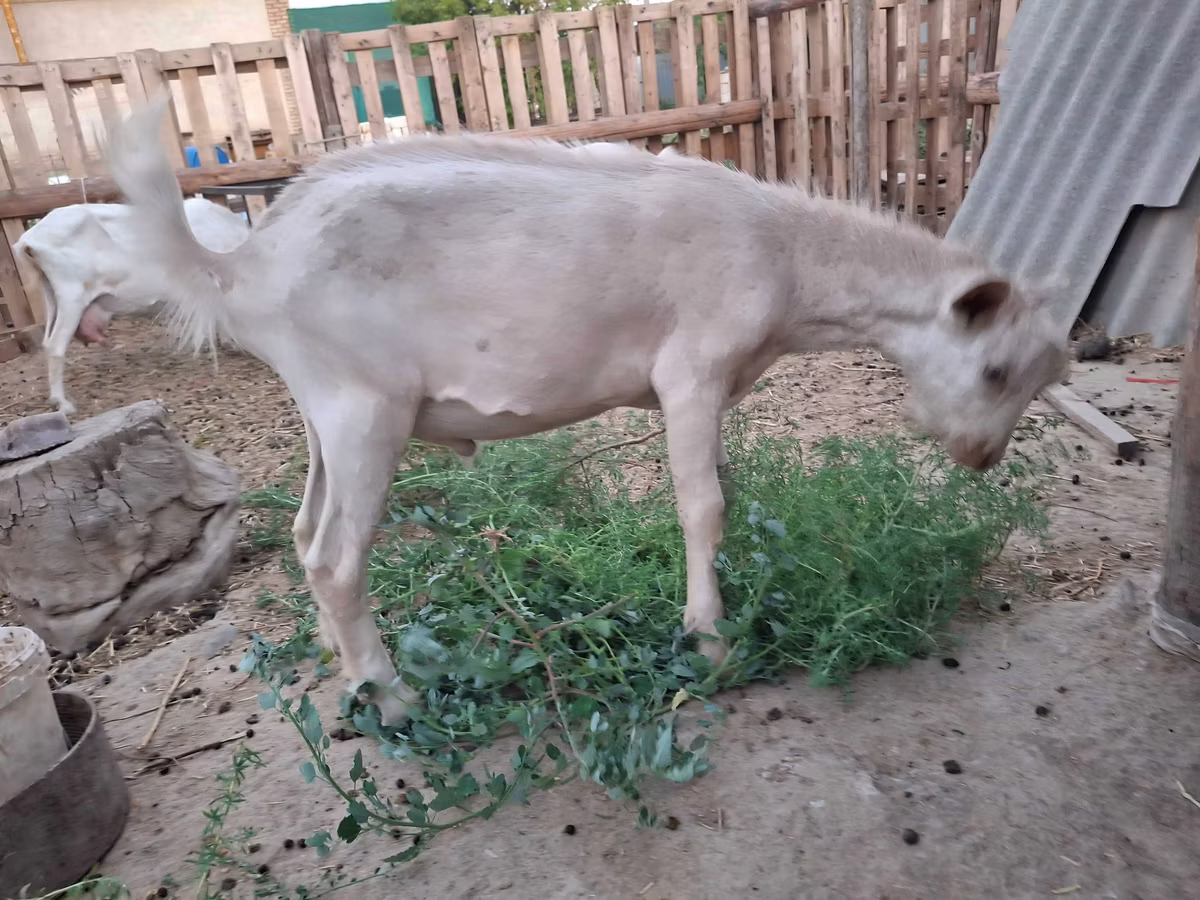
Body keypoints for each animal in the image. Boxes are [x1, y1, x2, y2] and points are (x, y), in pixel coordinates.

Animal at [13, 197, 250, 415]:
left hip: (53, 296)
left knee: (46, 342)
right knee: (55, 346)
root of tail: (27, 242)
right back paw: (63, 404)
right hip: (72, 295)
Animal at [107, 94, 1069, 725]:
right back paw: (395, 697)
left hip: (319, 411)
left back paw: (340, 665)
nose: (981, 459)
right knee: (337, 557)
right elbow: (703, 505)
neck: (787, 255)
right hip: (362, 408)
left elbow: (719, 494)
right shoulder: (692, 372)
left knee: (307, 537)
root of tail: (245, 265)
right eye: (994, 371)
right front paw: (709, 644)